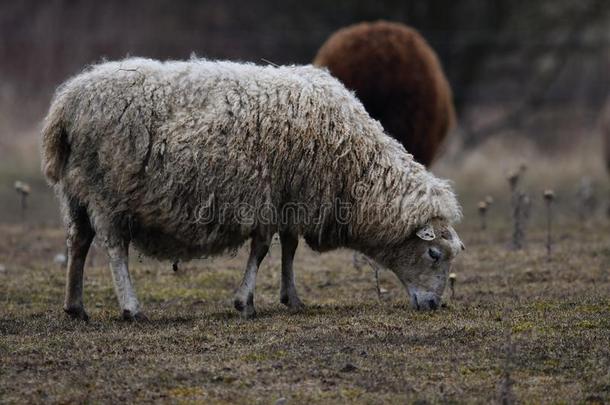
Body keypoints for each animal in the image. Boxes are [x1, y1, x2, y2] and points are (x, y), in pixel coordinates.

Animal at [42, 57, 460, 322]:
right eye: (434, 254)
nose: (433, 306)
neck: (353, 162)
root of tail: (65, 104)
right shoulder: (269, 197)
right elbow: (261, 250)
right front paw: (246, 303)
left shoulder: (291, 197)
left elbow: (289, 248)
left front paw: (291, 298)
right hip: (106, 192)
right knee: (114, 248)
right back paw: (131, 307)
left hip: (76, 192)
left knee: (77, 243)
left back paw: (75, 307)